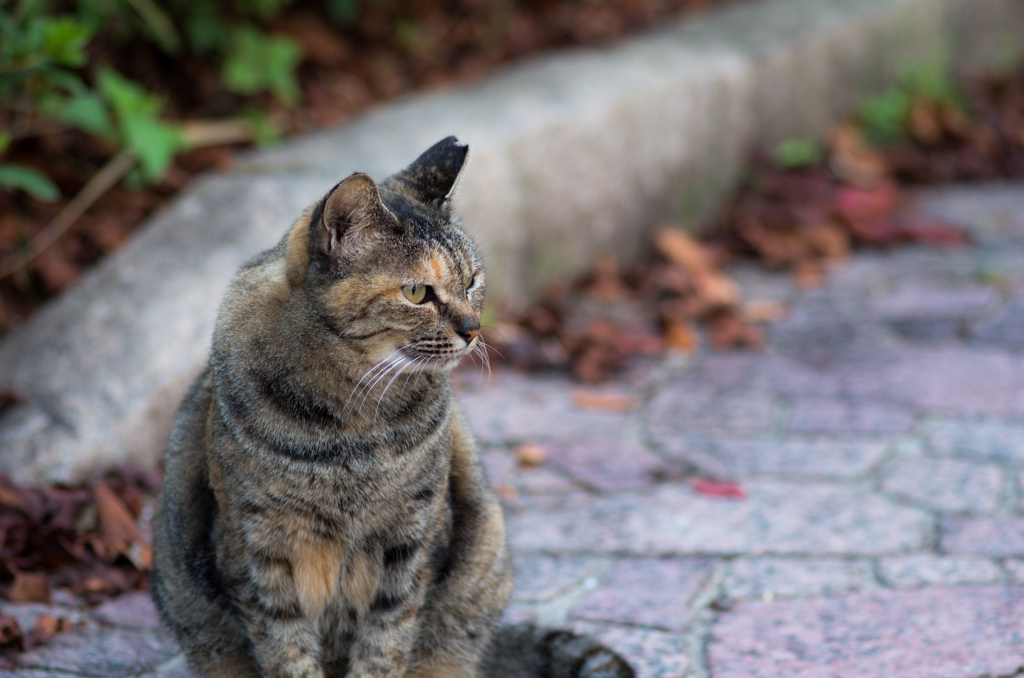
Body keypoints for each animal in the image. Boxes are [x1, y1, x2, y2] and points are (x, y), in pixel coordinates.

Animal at [150, 138, 630, 678]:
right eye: (417, 292)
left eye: (472, 280)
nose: (474, 329)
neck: (351, 422)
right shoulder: (256, 548)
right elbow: (285, 649)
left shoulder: (412, 537)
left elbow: (387, 639)